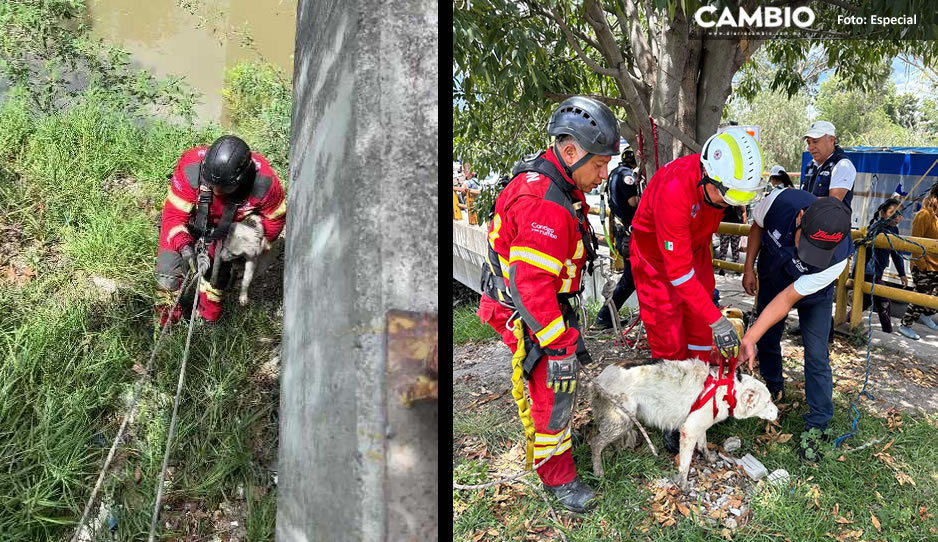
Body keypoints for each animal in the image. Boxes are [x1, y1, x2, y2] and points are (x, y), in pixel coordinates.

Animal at [592, 362, 776, 492]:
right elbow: (685, 464)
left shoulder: (699, 426)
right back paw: (598, 471)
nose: (778, 412)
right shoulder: (689, 431)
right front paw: (683, 485)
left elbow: (703, 445)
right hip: (622, 420)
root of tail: (598, 378)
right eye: (768, 402)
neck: (725, 391)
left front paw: (709, 459)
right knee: (595, 443)